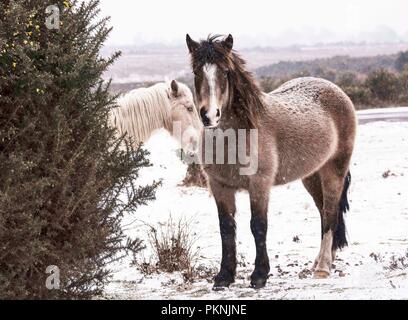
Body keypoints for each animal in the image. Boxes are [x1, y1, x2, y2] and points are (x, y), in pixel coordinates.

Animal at [186, 35, 356, 290]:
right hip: (311, 176)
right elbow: (226, 228)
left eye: (225, 72)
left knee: (330, 214)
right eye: (196, 71)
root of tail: (335, 89)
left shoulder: (259, 184)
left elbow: (258, 225)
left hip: (333, 171)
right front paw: (224, 276)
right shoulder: (220, 186)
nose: (209, 115)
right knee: (324, 213)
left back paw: (323, 268)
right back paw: (319, 262)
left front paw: (259, 275)